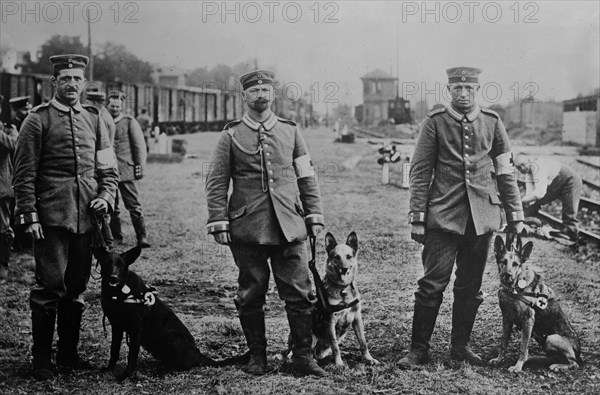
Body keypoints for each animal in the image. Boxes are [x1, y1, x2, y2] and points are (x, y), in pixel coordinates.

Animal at [98, 248, 248, 380]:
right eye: (107, 263)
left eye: (120, 264)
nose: (113, 278)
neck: (118, 292)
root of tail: (198, 353)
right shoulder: (116, 327)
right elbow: (114, 350)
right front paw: (109, 369)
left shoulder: (136, 329)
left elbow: (131, 356)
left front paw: (125, 375)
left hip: (172, 339)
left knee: (178, 366)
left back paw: (158, 372)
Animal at [284, 232, 378, 372]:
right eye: (336, 257)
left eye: (349, 257)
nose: (344, 269)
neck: (342, 289)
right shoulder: (330, 321)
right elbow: (335, 347)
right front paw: (339, 363)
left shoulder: (357, 318)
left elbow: (363, 342)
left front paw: (368, 358)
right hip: (310, 336)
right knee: (298, 351)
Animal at [488, 235, 580, 374]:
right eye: (503, 261)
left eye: (516, 264)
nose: (507, 275)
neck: (513, 288)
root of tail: (580, 353)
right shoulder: (507, 318)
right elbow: (503, 341)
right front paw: (499, 359)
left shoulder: (528, 320)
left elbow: (523, 347)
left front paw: (518, 366)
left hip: (552, 338)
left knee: (574, 363)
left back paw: (558, 366)